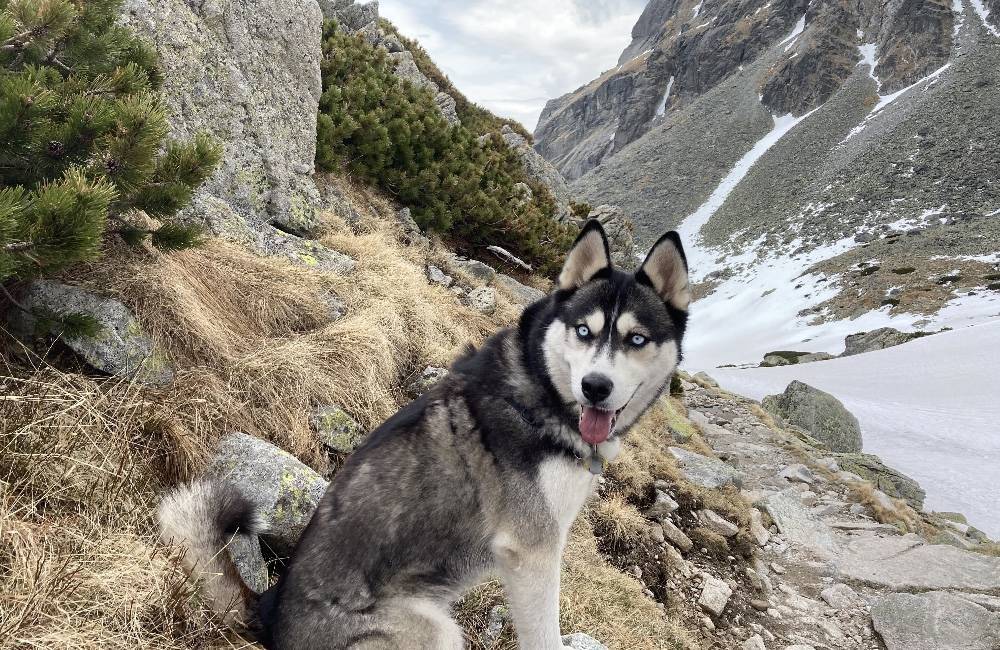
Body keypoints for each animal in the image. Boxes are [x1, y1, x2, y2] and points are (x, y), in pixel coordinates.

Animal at [158, 220, 688, 644]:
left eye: (636, 338)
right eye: (583, 331)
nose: (595, 386)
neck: (543, 391)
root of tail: (267, 617)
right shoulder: (532, 553)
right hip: (434, 631)